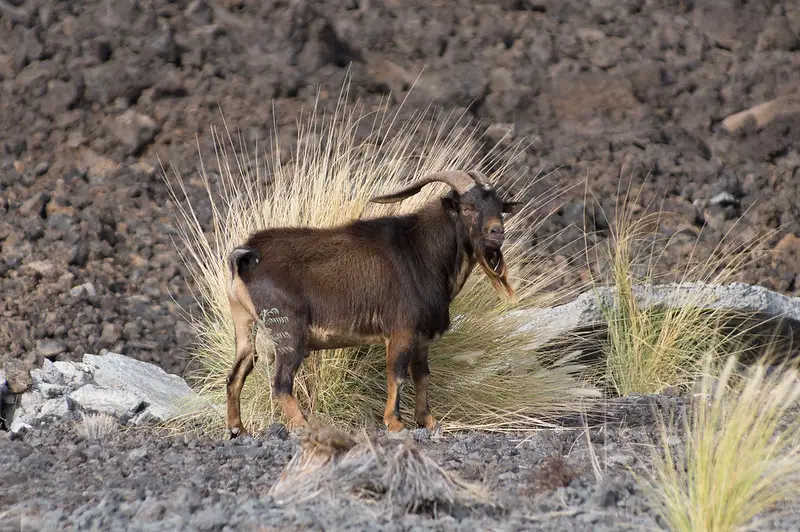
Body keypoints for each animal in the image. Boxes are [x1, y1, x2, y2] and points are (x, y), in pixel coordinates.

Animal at [228, 170, 520, 436]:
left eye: (499, 208)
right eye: (468, 207)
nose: (497, 232)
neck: (422, 252)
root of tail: (246, 257)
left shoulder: (421, 338)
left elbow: (422, 376)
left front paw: (427, 420)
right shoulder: (402, 330)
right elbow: (397, 375)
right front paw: (395, 422)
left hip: (245, 326)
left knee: (237, 374)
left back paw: (237, 429)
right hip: (288, 332)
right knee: (280, 384)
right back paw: (303, 426)